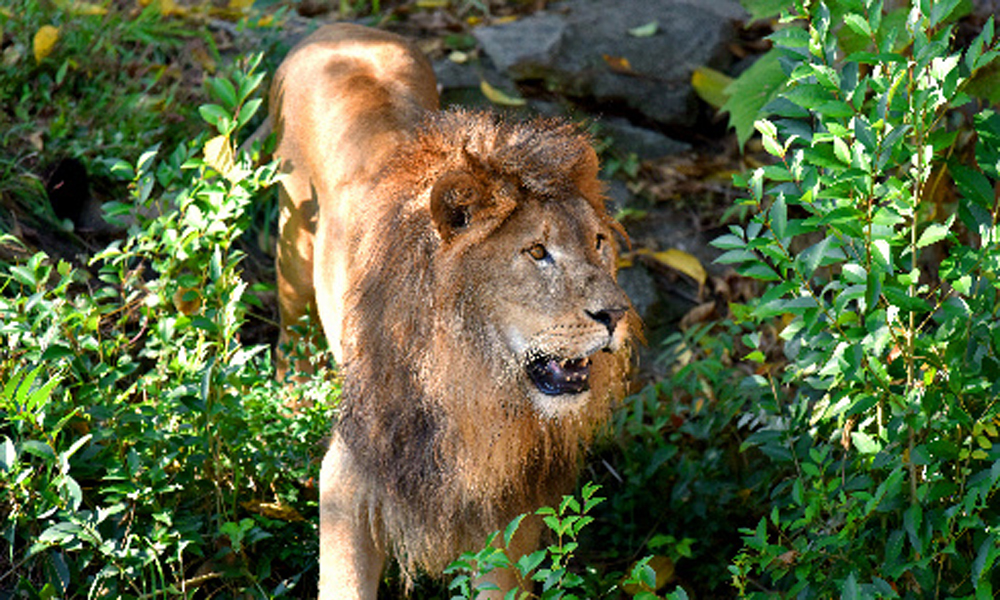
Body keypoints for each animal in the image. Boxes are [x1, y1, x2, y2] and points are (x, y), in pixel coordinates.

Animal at [270, 22, 636, 596]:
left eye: (598, 242)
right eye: (537, 252)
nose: (616, 315)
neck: (470, 380)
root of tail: (337, 29)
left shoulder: (507, 513)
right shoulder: (350, 480)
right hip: (293, 246)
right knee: (292, 329)